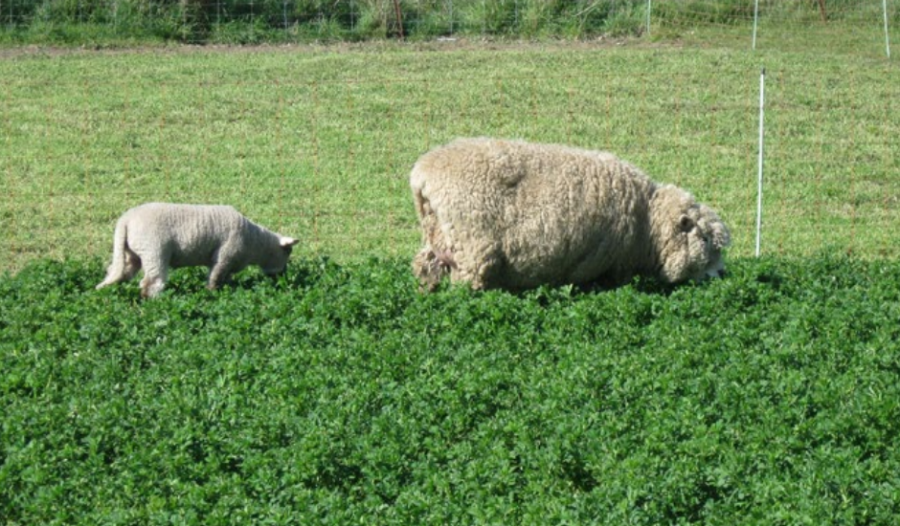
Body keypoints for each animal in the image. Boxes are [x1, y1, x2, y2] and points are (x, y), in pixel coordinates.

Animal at [97, 203, 298, 300]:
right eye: (288, 253)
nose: (282, 276)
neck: (255, 243)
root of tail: (125, 220)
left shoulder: (227, 261)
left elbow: (224, 278)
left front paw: (228, 289)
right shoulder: (224, 256)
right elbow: (215, 278)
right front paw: (212, 293)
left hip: (131, 253)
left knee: (118, 272)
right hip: (154, 250)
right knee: (151, 282)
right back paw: (154, 301)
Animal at [410, 136, 732, 292]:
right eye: (704, 239)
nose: (722, 273)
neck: (647, 220)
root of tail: (423, 174)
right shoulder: (607, 262)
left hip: (439, 239)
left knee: (425, 269)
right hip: (472, 250)